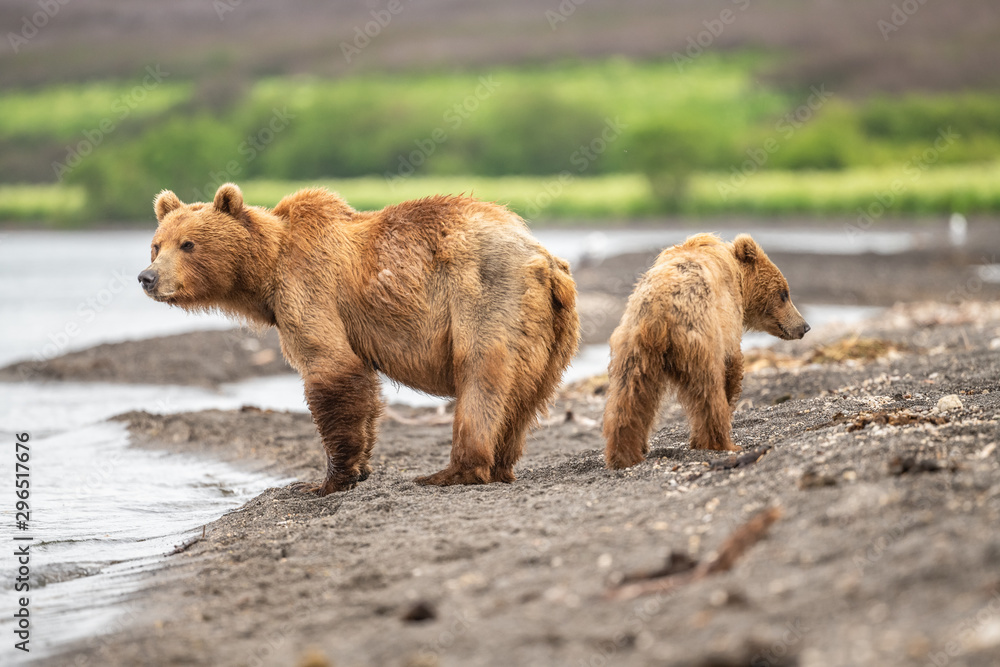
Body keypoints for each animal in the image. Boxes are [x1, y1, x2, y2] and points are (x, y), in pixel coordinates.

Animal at [139, 183, 579, 495]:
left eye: (188, 243)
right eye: (156, 245)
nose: (147, 277)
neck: (266, 271)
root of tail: (543, 258)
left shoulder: (308, 289)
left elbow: (330, 367)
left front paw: (328, 480)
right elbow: (362, 386)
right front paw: (362, 466)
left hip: (487, 295)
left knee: (481, 374)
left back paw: (452, 471)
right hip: (552, 328)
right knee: (528, 395)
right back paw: (502, 466)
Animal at [602, 233, 809, 469]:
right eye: (784, 293)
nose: (804, 326)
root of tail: (660, 310)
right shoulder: (727, 321)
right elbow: (732, 367)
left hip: (635, 349)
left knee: (628, 397)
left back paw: (623, 453)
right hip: (700, 341)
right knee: (709, 393)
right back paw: (720, 442)